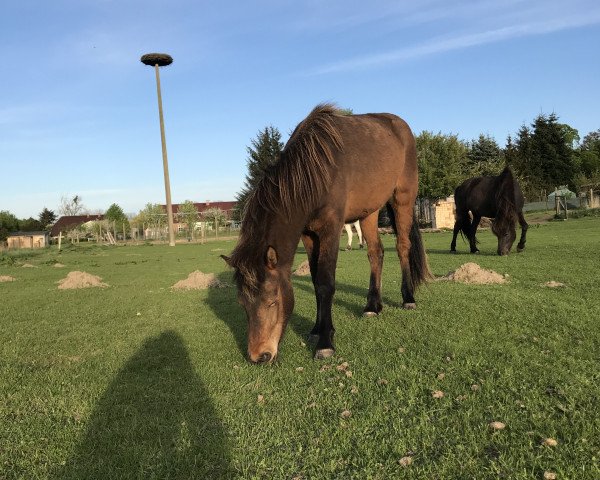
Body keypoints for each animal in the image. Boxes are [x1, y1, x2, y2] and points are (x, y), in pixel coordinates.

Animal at [223, 103, 428, 362]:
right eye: (243, 304)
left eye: (272, 301)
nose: (259, 355)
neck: (314, 173)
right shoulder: (309, 234)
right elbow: (314, 280)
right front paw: (316, 330)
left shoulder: (331, 229)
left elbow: (325, 283)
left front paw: (325, 341)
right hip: (369, 212)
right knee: (375, 253)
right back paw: (372, 306)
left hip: (403, 199)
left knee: (402, 247)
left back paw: (408, 298)